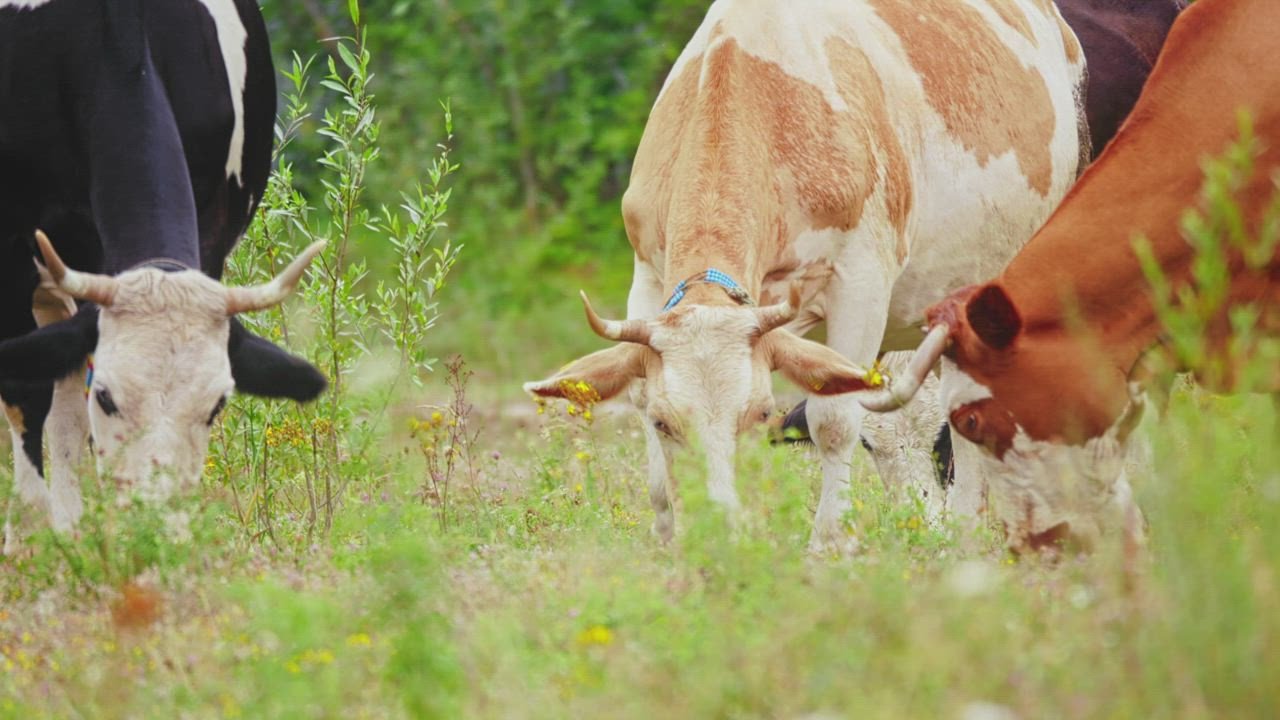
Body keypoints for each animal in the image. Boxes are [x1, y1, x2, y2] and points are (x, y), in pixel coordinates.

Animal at [0, 0, 326, 550]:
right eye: (108, 397)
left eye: (217, 405)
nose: (152, 525)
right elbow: (25, 394)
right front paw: (26, 538)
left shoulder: (211, 237)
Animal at [526, 0, 1089, 552]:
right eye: (666, 422)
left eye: (759, 414)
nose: (720, 531)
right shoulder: (647, 274)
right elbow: (642, 405)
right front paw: (668, 539)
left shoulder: (860, 280)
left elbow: (834, 420)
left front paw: (827, 546)